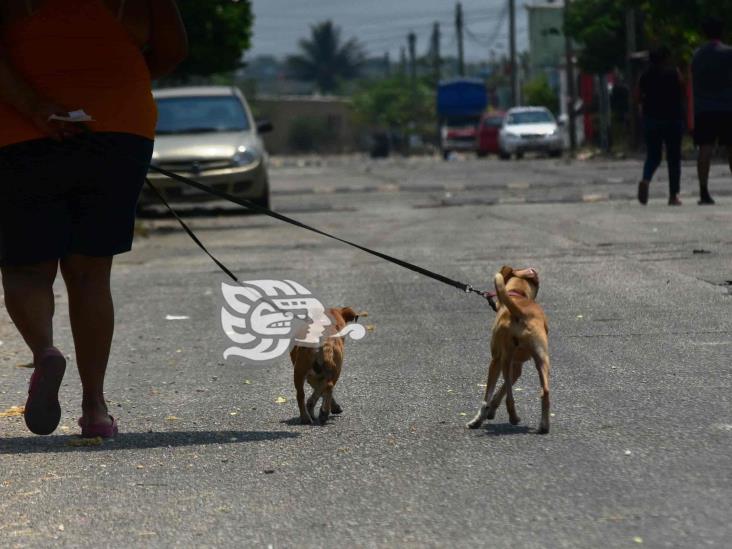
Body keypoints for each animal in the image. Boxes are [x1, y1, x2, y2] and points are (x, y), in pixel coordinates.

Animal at [466, 266, 552, 432]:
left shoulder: (497, 362)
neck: (518, 295)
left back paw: (513, 417)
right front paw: (490, 410)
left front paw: (481, 417)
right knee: (544, 390)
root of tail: (521, 312)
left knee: (509, 397)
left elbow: (490, 394)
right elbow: (503, 389)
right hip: (542, 358)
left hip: (504, 359)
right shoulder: (517, 367)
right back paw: (544, 426)